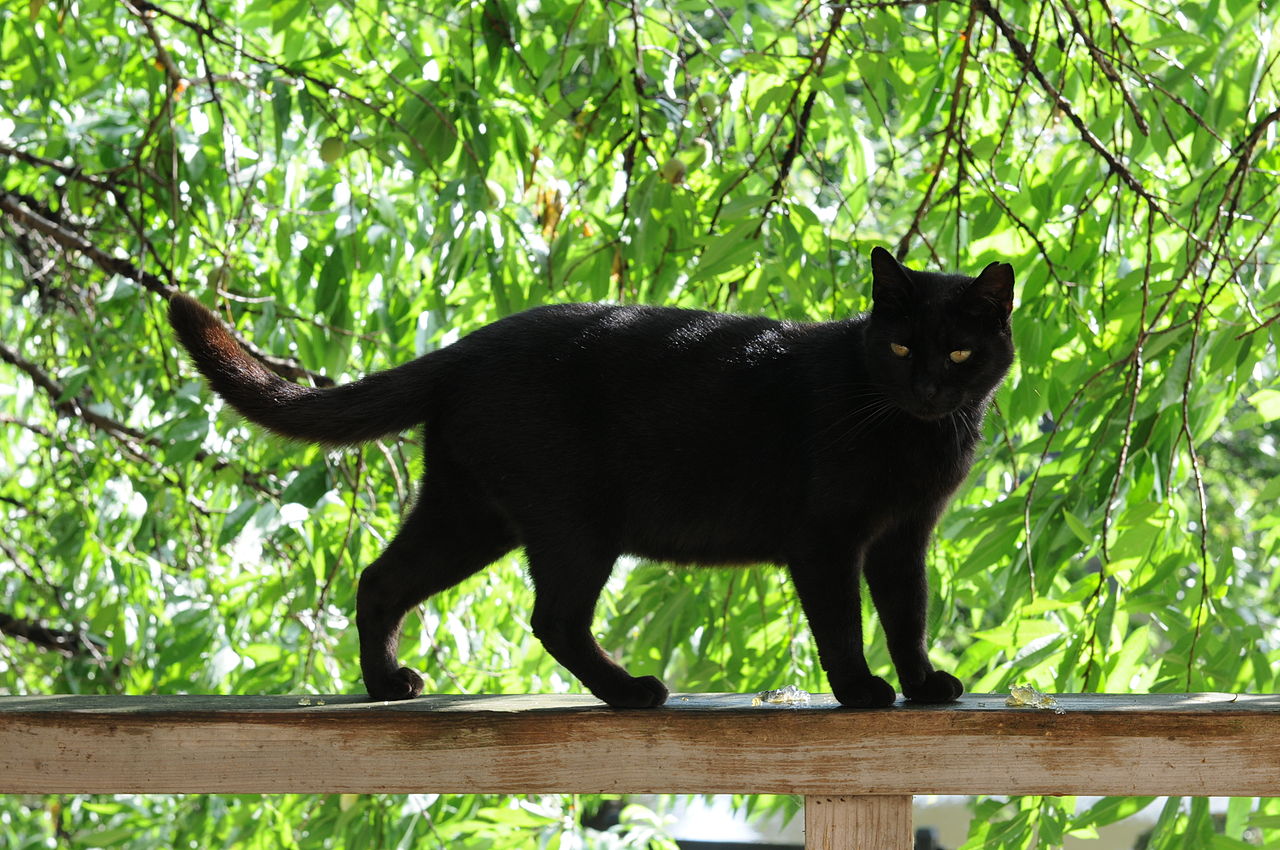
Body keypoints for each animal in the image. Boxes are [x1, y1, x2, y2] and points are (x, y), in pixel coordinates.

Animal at [165, 247, 1013, 711]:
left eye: (960, 352)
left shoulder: (903, 541)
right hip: (573, 526)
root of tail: (468, 346)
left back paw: (385, 685)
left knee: (382, 580)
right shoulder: (827, 542)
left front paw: (923, 684)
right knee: (553, 619)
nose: (929, 387)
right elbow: (842, 625)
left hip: (470, 516)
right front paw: (862, 691)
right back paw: (632, 690)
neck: (914, 433)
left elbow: (907, 617)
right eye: (900, 348)